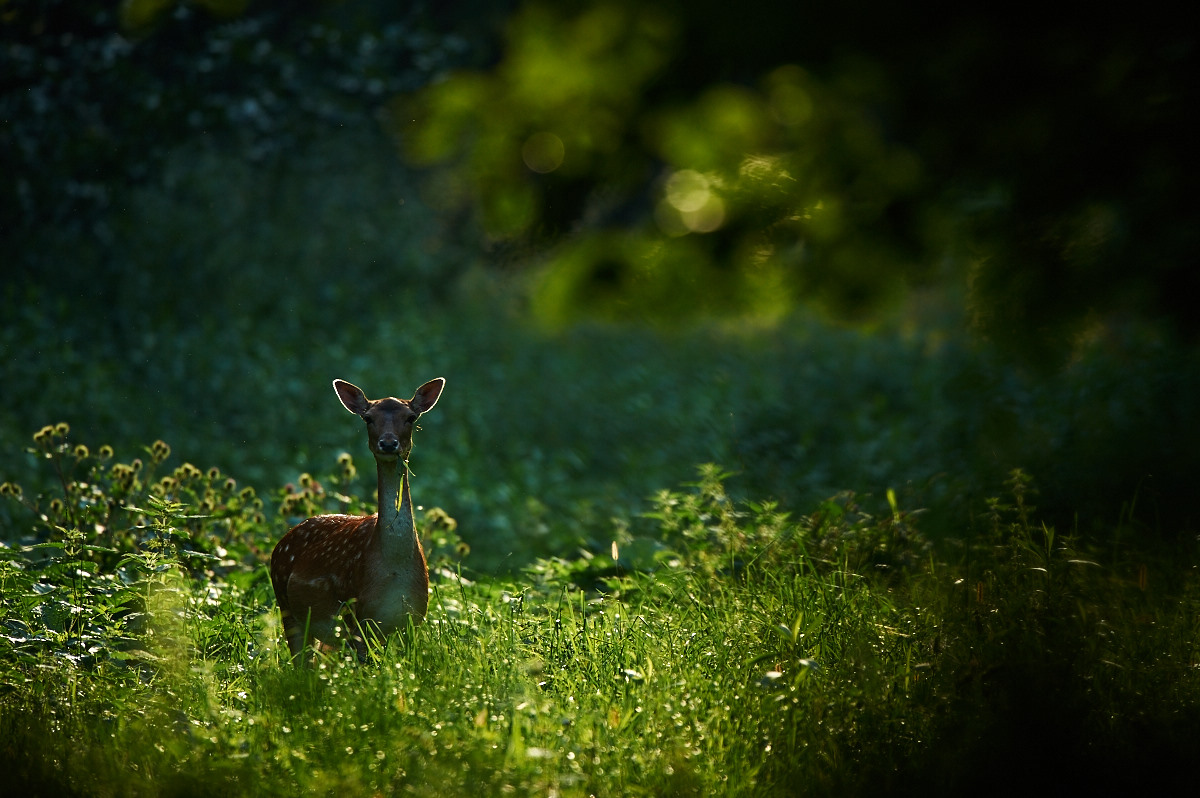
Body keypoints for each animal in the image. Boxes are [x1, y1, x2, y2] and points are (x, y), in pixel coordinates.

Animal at [267, 379, 446, 657]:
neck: (394, 570)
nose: (388, 443)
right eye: (368, 418)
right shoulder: (357, 617)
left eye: (411, 417)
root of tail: (281, 543)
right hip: (286, 606)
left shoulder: (415, 617)